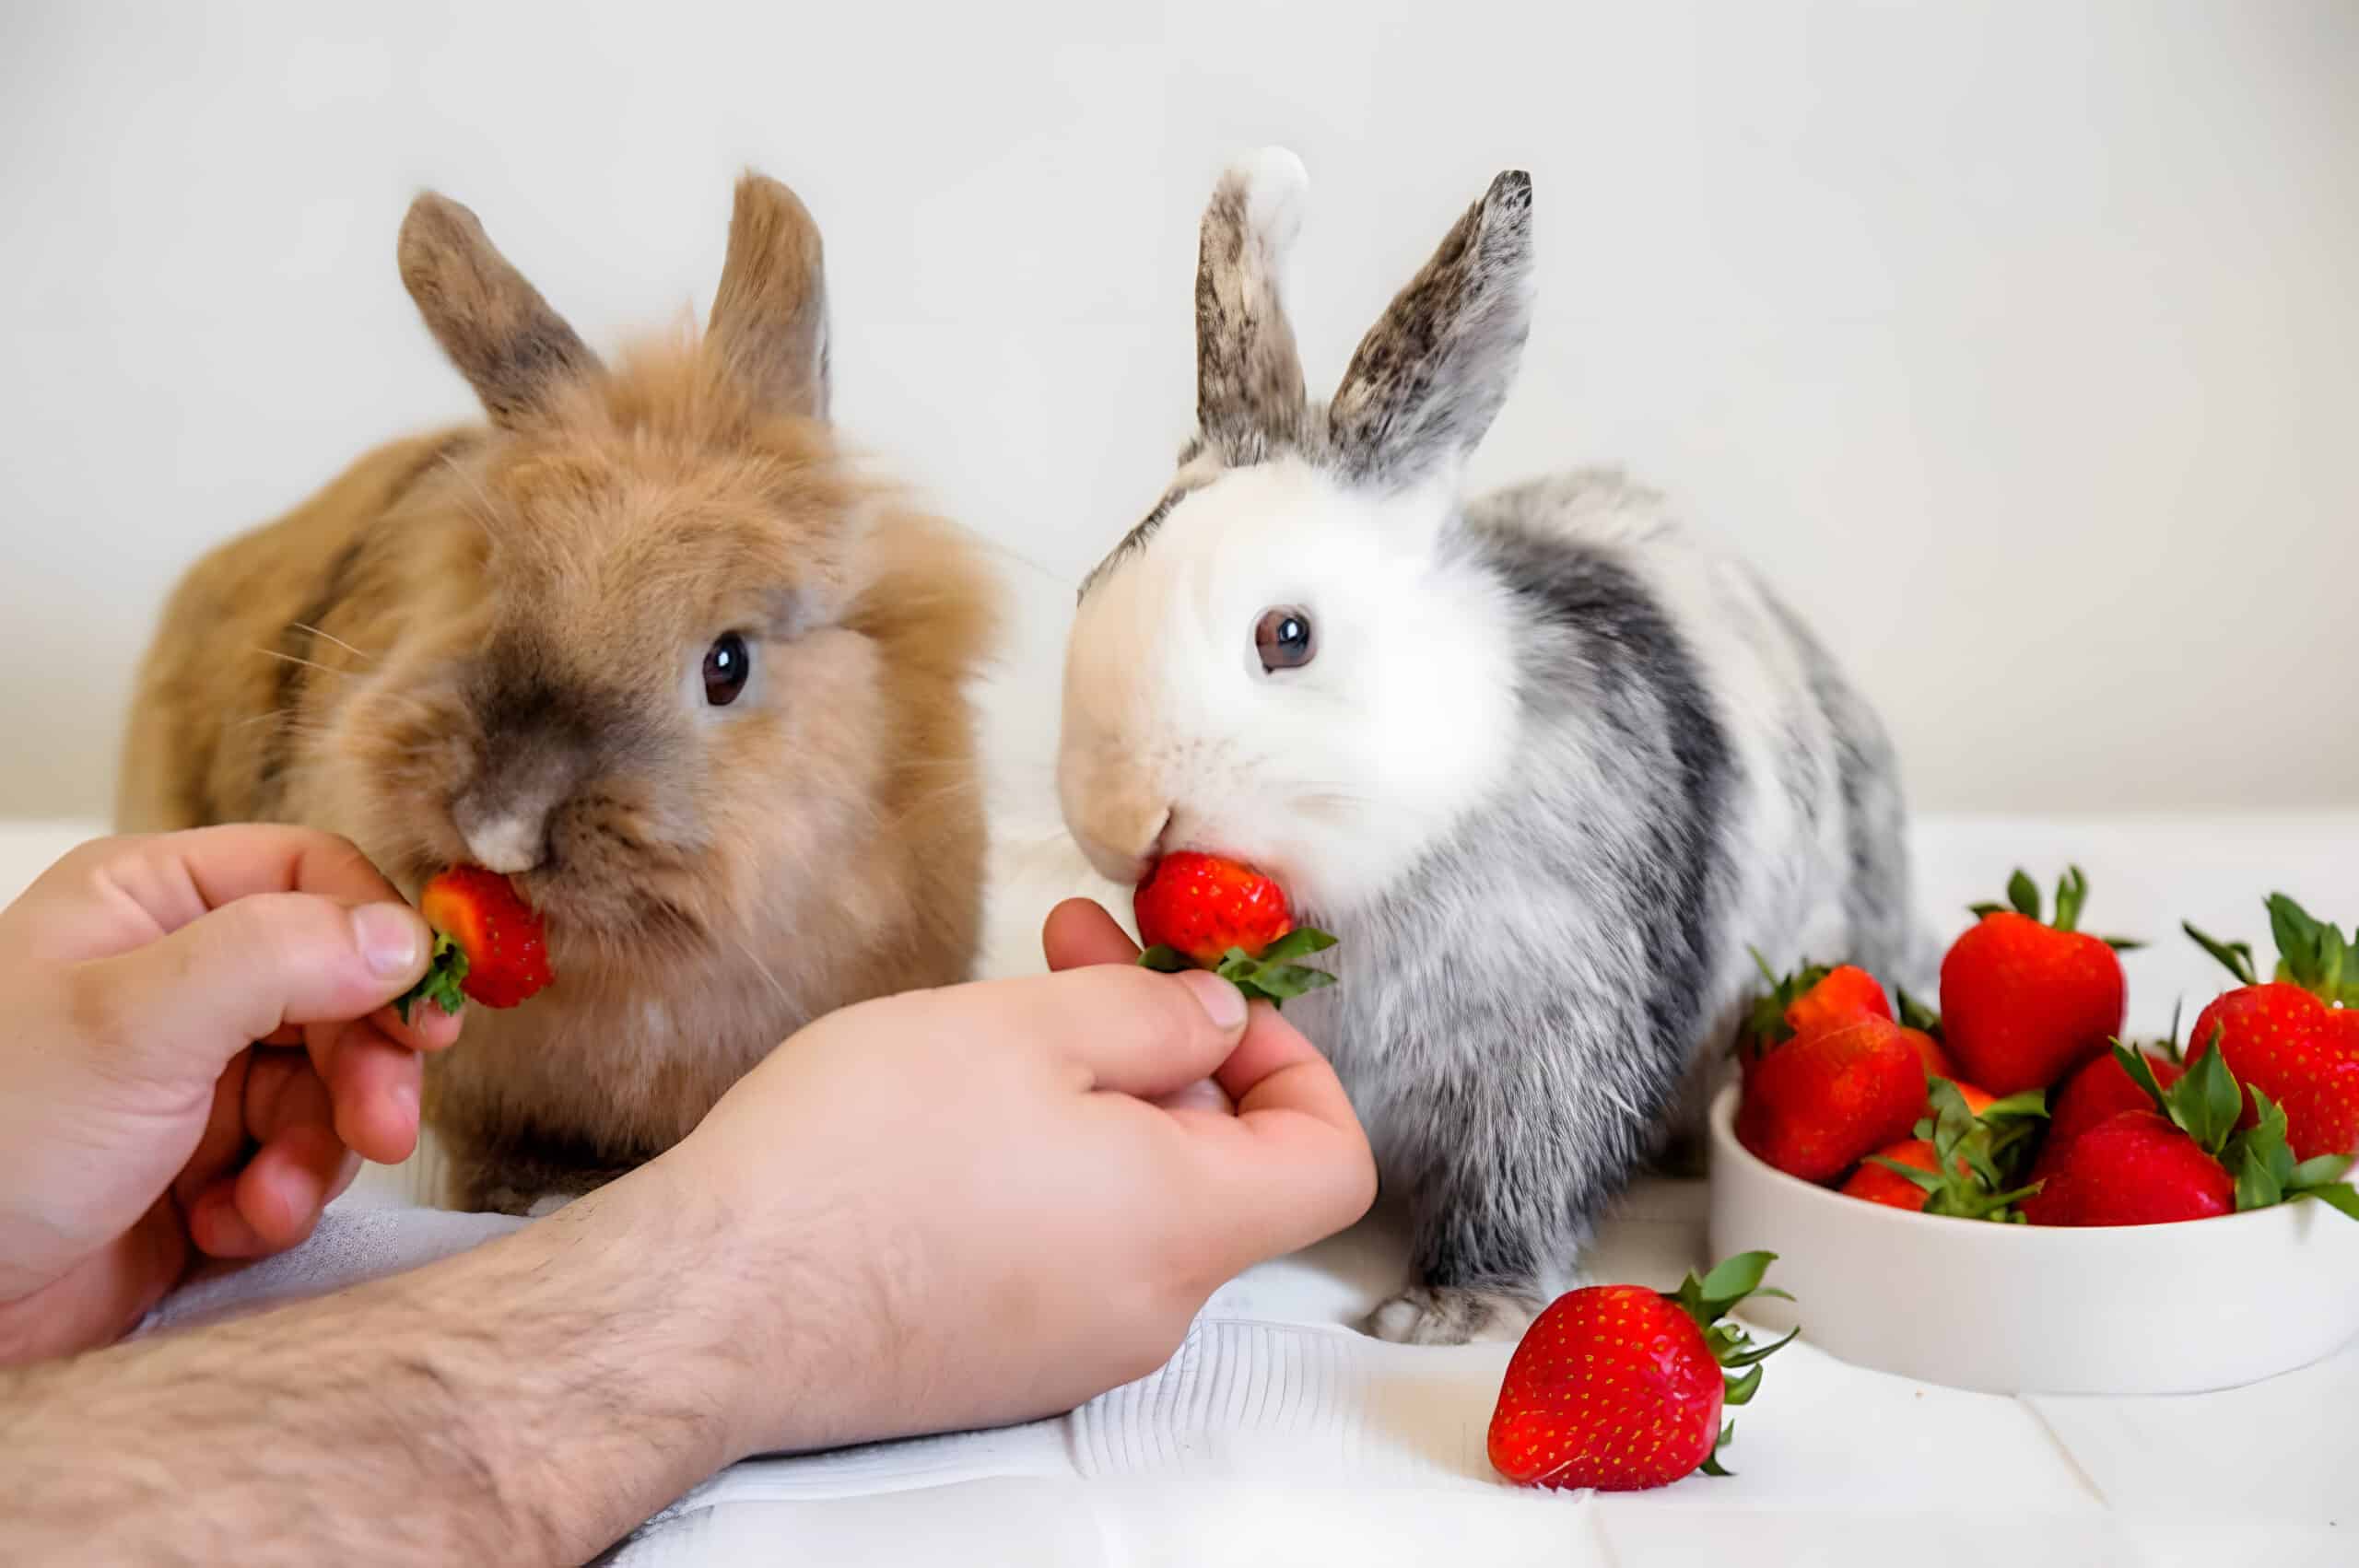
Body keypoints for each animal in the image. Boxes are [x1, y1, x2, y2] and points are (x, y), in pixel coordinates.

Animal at [1051, 149, 1915, 1348]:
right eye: (1088, 588)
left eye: (1288, 636)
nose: (1128, 820)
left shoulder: (1549, 1049)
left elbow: (1520, 1180)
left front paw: (1453, 1314)